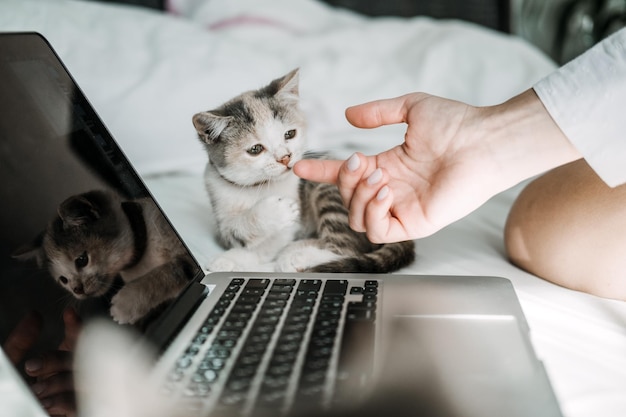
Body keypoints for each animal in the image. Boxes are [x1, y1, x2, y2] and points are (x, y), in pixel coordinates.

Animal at [190, 69, 414, 272]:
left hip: (328, 188)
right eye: (255, 149)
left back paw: (300, 256)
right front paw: (235, 255)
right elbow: (237, 231)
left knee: (349, 249)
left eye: (289, 134)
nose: (285, 157)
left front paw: (235, 257)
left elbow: (272, 242)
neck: (254, 187)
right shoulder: (219, 212)